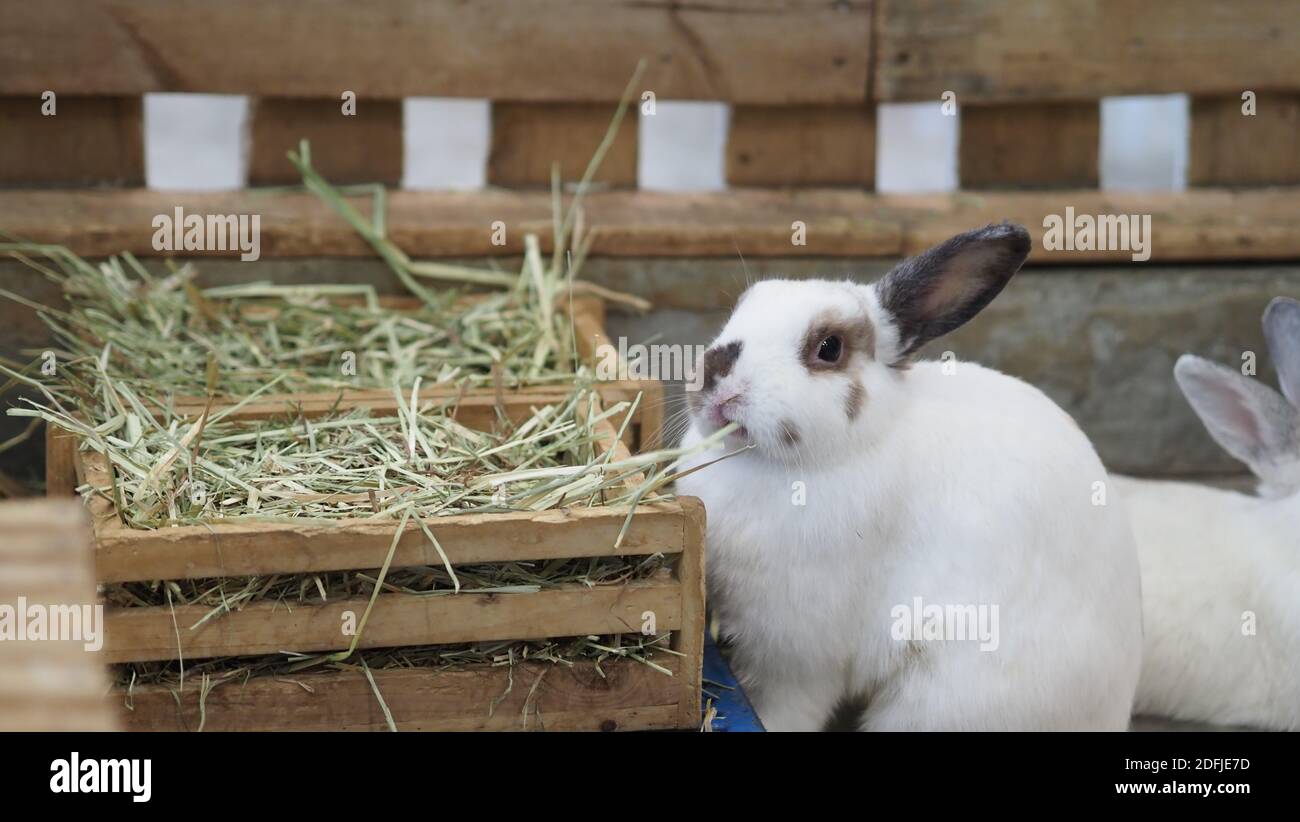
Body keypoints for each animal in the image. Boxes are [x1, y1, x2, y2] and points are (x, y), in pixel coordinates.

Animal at [676, 221, 1144, 728]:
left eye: (829, 348)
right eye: (739, 310)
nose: (714, 376)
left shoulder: (798, 656)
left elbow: (782, 709)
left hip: (938, 704)